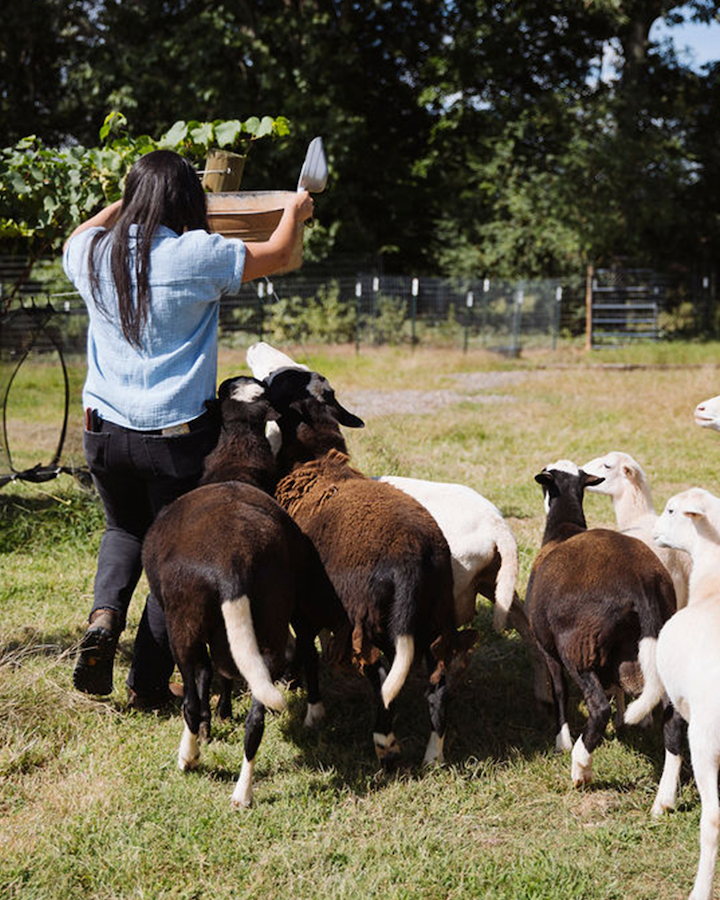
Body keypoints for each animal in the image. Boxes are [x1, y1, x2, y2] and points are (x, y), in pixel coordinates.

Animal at [141, 375, 345, 808]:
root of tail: (232, 561)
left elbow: (206, 680)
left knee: (190, 698)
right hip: (267, 626)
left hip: (183, 626)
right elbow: (226, 675)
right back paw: (243, 791)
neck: (234, 466)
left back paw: (188, 758)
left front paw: (207, 729)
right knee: (256, 717)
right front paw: (221, 716)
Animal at [247, 341, 548, 702]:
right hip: (495, 583)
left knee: (449, 651)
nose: (256, 345)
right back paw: (544, 692)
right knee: (527, 631)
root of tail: (498, 528)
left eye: (280, 378)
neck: (311, 465)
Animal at [250, 358, 477, 767]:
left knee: (384, 675)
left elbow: (308, 656)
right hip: (434, 614)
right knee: (437, 681)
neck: (313, 460)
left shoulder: (303, 609)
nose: (264, 377)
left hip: (366, 616)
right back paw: (433, 755)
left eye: (281, 381)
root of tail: (413, 556)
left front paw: (314, 713)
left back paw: (385, 741)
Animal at [526, 460, 680, 788]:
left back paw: (580, 767)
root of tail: (640, 583)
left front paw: (562, 740)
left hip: (577, 648)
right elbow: (618, 687)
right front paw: (624, 722)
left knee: (598, 707)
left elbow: (560, 691)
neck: (564, 529)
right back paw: (666, 793)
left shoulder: (547, 646)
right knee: (673, 719)